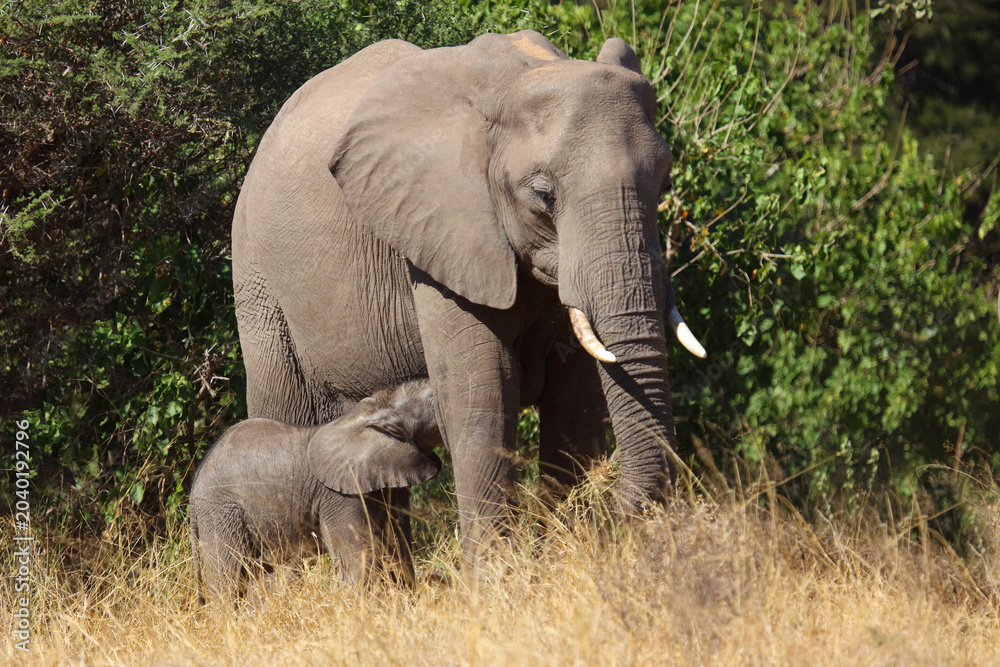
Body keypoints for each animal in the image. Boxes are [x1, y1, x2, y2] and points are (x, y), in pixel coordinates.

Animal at [189, 380, 442, 602]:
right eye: (431, 397)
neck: (365, 413)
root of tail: (193, 493)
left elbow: (397, 547)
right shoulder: (339, 496)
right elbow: (358, 559)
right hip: (221, 513)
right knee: (228, 579)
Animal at [232, 30, 705, 573]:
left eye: (664, 182)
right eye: (542, 195)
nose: (614, 507)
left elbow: (577, 397)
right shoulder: (442, 230)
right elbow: (482, 392)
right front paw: (498, 580)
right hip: (259, 284)